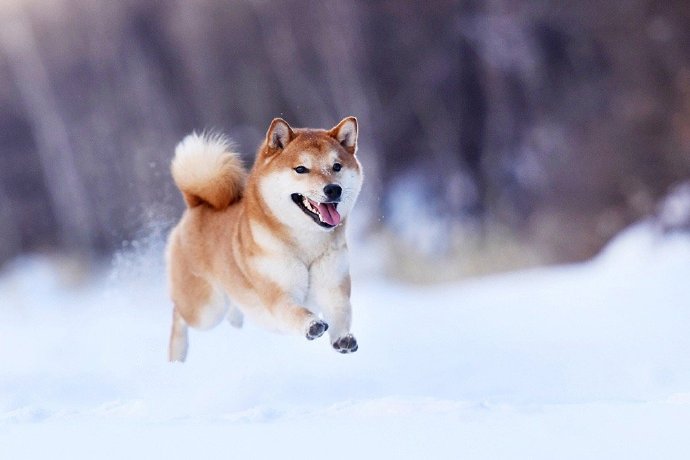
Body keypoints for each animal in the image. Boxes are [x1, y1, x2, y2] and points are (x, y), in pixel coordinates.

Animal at [166, 117, 362, 362]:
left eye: (337, 166)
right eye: (301, 169)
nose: (333, 189)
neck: (307, 247)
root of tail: (197, 203)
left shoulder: (334, 287)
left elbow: (341, 314)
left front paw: (343, 338)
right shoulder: (278, 293)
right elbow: (294, 311)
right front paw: (311, 324)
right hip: (206, 310)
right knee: (179, 314)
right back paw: (178, 353)